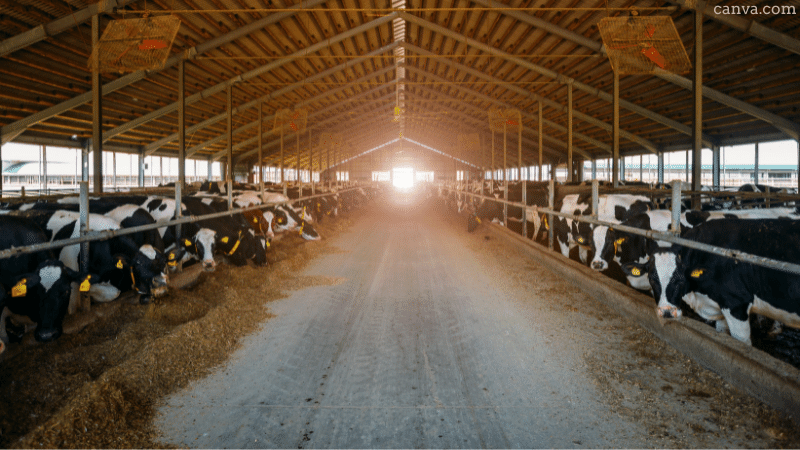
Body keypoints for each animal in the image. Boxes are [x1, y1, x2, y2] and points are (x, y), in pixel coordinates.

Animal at [648, 219, 800, 344]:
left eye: (680, 280)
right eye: (652, 280)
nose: (666, 312)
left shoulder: (736, 303)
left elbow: (742, 342)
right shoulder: (719, 304)